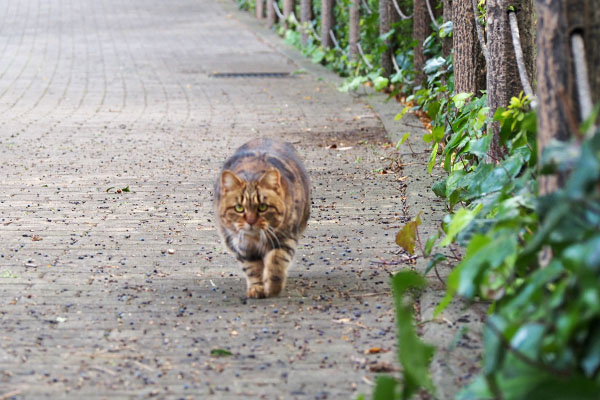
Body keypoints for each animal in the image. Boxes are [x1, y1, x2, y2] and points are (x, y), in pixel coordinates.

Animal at [214, 138, 310, 296]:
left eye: (263, 207)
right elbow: (253, 269)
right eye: (239, 208)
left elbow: (276, 261)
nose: (251, 221)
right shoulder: (243, 247)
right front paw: (257, 287)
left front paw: (272, 286)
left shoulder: (286, 238)